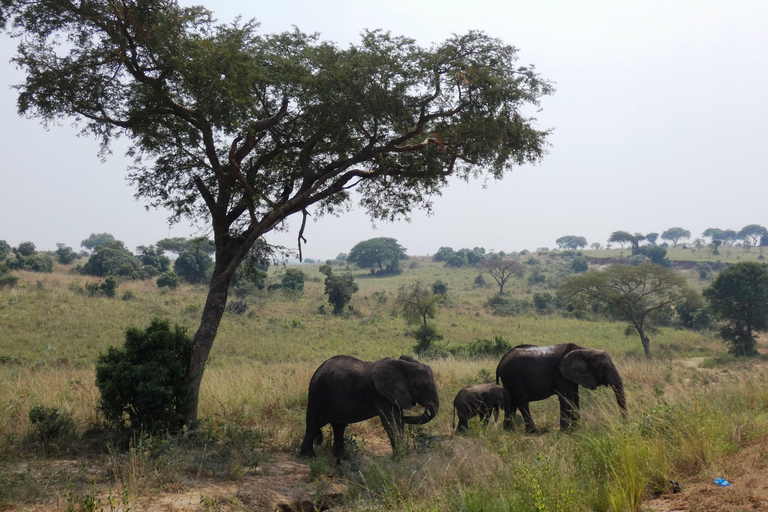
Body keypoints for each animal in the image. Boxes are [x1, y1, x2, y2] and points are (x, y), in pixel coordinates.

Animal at [300, 354, 438, 458]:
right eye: (423, 387)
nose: (408, 417)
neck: (405, 365)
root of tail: (317, 371)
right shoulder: (379, 394)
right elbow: (391, 421)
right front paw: (399, 457)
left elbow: (397, 420)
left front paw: (402, 455)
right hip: (319, 395)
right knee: (313, 424)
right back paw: (309, 457)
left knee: (339, 427)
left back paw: (343, 457)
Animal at [496, 344, 628, 432]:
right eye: (603, 367)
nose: (624, 423)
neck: (584, 349)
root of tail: (501, 360)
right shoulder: (560, 374)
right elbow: (566, 397)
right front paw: (566, 431)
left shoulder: (571, 375)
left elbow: (575, 397)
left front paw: (577, 428)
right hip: (513, 376)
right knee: (522, 402)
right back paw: (533, 431)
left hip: (509, 380)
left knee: (511, 402)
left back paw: (509, 430)